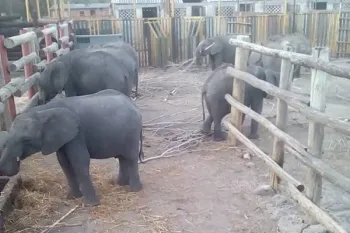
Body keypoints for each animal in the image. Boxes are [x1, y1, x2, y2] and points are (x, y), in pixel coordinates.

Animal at [0, 88, 144, 206]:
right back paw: (120, 184)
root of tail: (134, 105)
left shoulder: (77, 134)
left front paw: (91, 204)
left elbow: (79, 161)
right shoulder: (61, 139)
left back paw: (134, 190)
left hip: (132, 131)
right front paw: (72, 198)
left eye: (26, 140)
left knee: (130, 157)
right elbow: (64, 163)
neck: (44, 110)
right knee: (122, 158)